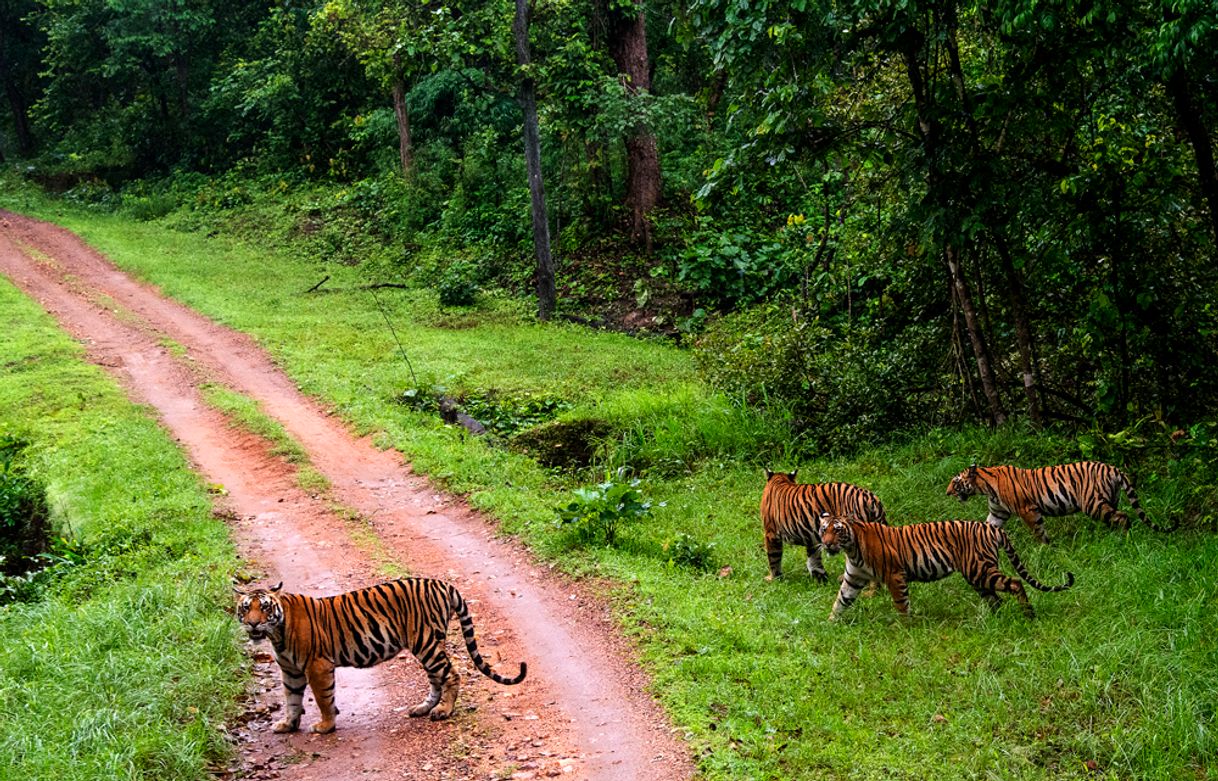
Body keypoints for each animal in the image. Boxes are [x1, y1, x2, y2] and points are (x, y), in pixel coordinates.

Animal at [235, 579, 526, 731]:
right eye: (246, 608)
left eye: (264, 607)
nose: (253, 624)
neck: (277, 634)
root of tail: (442, 583)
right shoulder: (290, 670)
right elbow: (292, 699)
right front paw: (288, 724)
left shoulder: (317, 666)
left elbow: (323, 698)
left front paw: (326, 726)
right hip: (430, 644)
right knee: (436, 678)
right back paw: (424, 708)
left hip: (425, 642)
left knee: (451, 675)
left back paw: (444, 710)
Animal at [818, 514, 1076, 618]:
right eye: (824, 529)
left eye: (837, 530)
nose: (827, 543)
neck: (852, 549)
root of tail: (992, 528)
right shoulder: (853, 578)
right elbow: (840, 601)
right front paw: (830, 624)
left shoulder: (895, 576)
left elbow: (902, 604)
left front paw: (905, 627)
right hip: (977, 575)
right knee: (996, 599)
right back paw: (993, 620)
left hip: (980, 570)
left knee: (1015, 583)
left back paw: (1028, 614)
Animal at [945, 458, 1174, 540]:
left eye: (955, 483)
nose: (947, 493)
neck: (985, 487)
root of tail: (1113, 468)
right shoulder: (998, 512)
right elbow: (987, 526)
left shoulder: (1028, 510)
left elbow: (1038, 531)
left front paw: (1045, 548)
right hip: (1109, 500)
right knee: (1115, 517)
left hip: (1093, 503)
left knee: (1123, 517)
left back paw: (1124, 539)